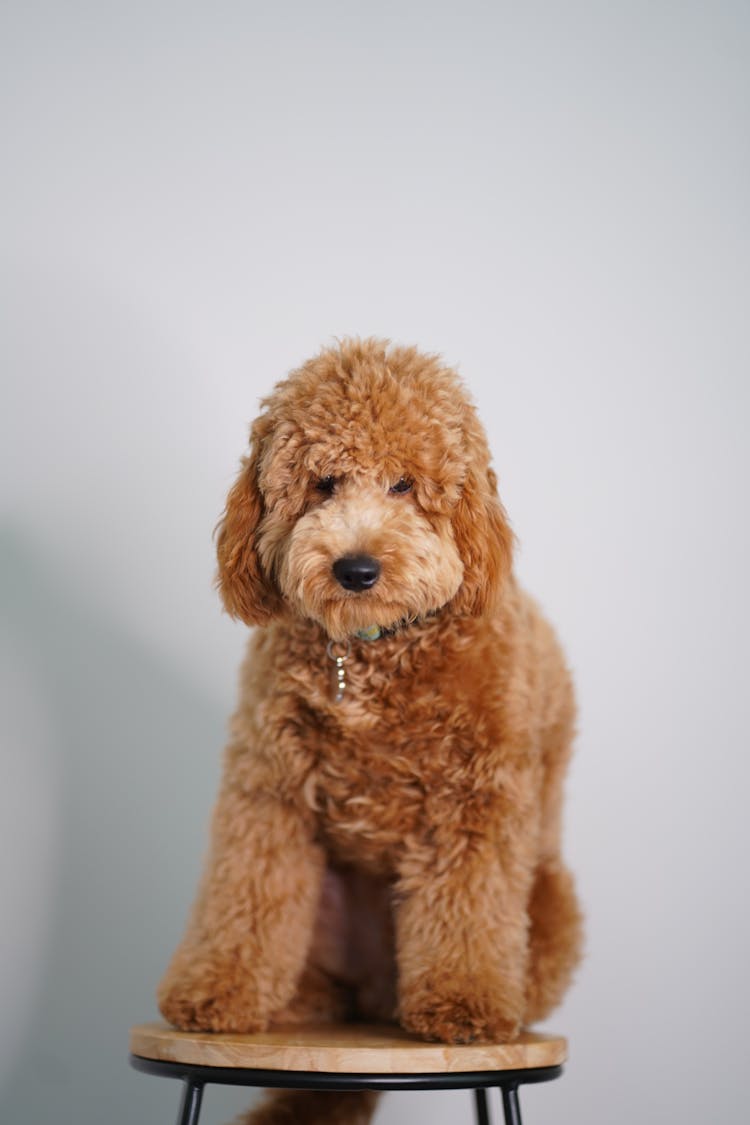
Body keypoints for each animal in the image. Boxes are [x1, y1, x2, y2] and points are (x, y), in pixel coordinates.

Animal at [157, 337, 580, 1125]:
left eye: (405, 485)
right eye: (323, 483)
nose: (356, 568)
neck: (368, 654)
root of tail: (366, 1002)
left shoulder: (475, 804)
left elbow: (468, 913)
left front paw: (463, 1006)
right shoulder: (268, 794)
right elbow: (242, 899)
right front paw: (215, 991)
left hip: (552, 901)